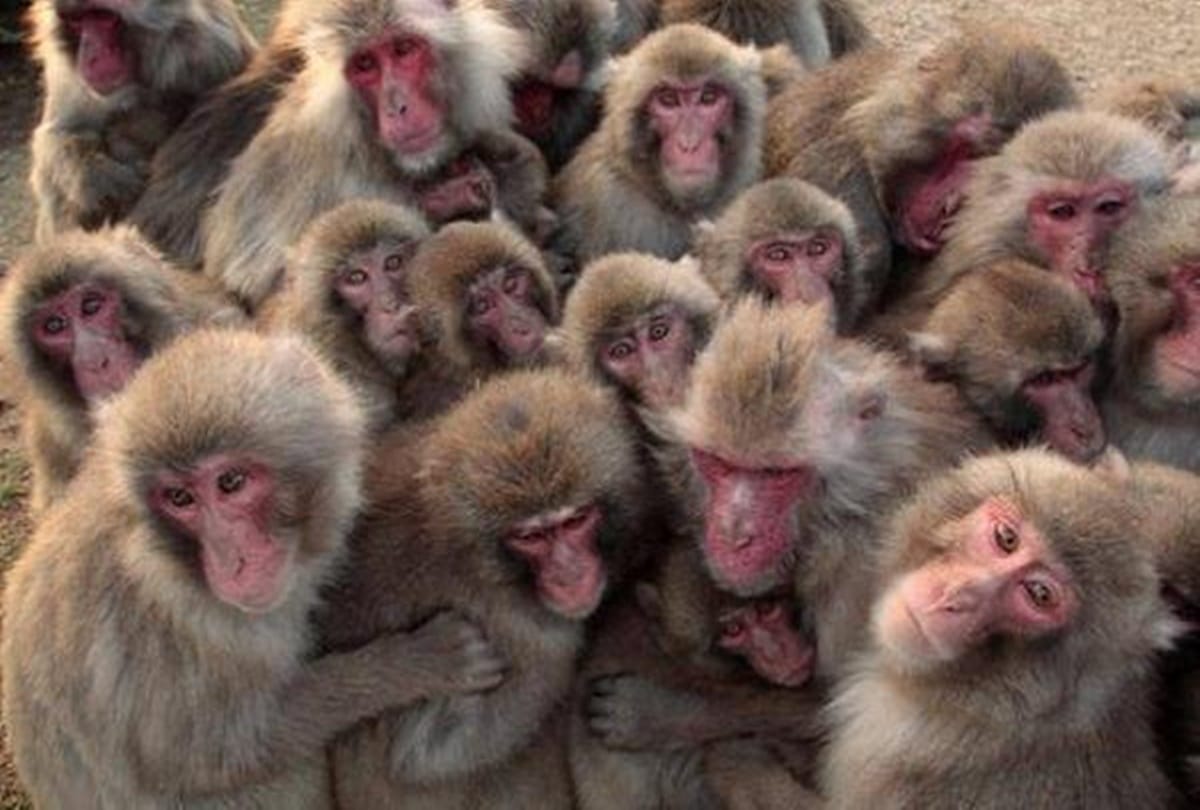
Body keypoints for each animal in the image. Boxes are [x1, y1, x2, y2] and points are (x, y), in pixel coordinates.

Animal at [1, 329, 508, 807]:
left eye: (231, 482)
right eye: (180, 498)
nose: (232, 560)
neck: (164, 554)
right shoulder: (177, 630)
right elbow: (222, 754)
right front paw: (416, 663)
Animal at [27, 0, 256, 241]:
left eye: (103, 18)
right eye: (77, 21)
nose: (89, 56)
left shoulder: (216, 47)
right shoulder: (67, 76)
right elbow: (56, 135)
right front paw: (100, 180)